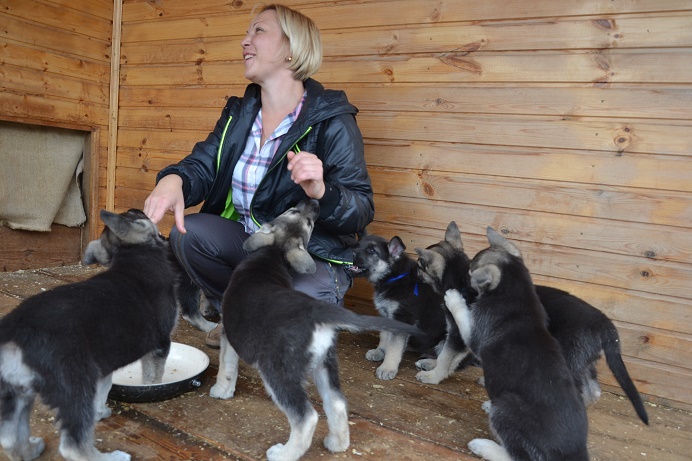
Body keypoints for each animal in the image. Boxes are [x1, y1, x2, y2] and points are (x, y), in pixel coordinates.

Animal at [0, 209, 181, 460]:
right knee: (73, 445)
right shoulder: (159, 345)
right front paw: (153, 388)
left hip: (17, 392)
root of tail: (15, 334)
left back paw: (30, 450)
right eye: (137, 214)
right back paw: (111, 457)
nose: (144, 209)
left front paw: (100, 412)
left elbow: (103, 392)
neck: (132, 255)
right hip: (74, 383)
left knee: (9, 437)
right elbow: (153, 377)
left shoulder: (103, 366)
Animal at [211, 199, 424, 460]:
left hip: (278, 371)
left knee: (306, 417)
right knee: (337, 404)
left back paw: (284, 453)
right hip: (325, 364)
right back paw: (336, 443)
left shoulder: (228, 334)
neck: (271, 257)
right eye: (296, 212)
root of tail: (318, 312)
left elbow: (226, 367)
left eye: (303, 218)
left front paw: (221, 390)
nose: (312, 201)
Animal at [348, 235, 446, 380]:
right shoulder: (387, 315)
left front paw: (387, 368)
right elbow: (385, 336)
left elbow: (394, 347)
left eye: (371, 250)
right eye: (356, 245)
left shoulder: (402, 318)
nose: (349, 254)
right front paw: (380, 351)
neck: (393, 277)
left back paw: (428, 363)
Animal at [416, 221, 648, 422]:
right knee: (594, 390)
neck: (457, 278)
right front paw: (433, 366)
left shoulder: (459, 334)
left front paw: (433, 376)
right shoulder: (460, 336)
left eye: (420, 265)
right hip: (583, 362)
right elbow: (449, 356)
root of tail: (604, 323)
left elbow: (446, 355)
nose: (415, 271)